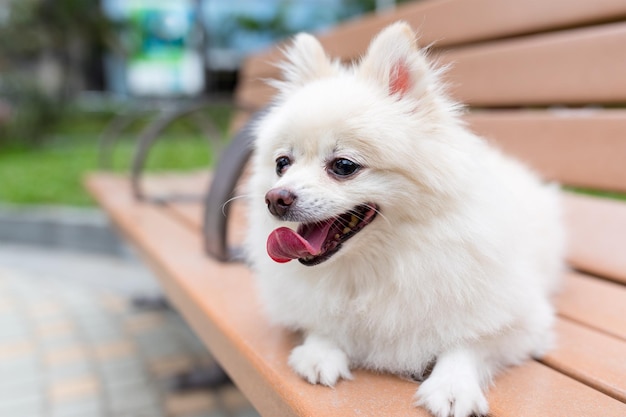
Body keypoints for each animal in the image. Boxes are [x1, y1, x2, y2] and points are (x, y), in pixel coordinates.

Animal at [243, 22, 560, 416]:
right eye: (282, 164)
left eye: (343, 166)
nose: (276, 198)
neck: (374, 267)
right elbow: (320, 320)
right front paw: (320, 351)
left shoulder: (524, 322)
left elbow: (470, 342)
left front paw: (452, 385)